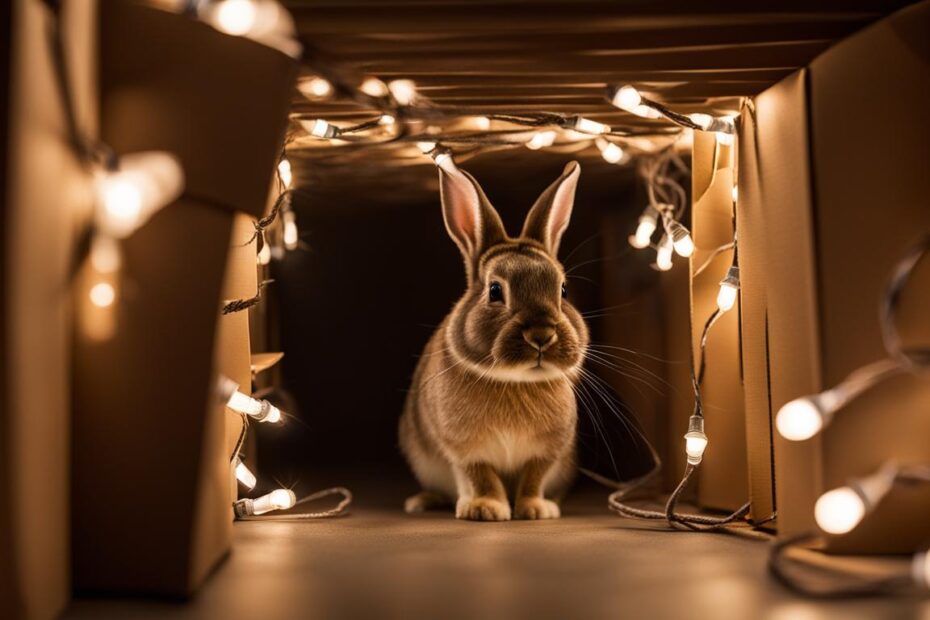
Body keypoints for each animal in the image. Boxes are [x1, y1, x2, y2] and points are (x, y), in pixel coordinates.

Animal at [399, 160, 588, 521]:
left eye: (564, 290)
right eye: (495, 291)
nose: (542, 336)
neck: (515, 381)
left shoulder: (547, 453)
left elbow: (533, 477)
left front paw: (535, 510)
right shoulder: (464, 450)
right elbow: (481, 476)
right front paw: (485, 509)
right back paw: (420, 502)